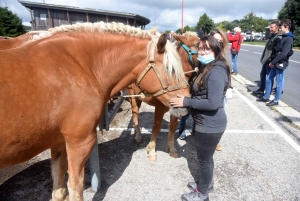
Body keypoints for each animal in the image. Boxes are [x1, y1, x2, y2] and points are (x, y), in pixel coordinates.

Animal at [0, 22, 190, 201]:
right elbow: (75, 188)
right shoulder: (79, 143)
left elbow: (59, 190)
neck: (81, 68)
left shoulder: (59, 142)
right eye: (170, 69)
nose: (185, 104)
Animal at [124, 31, 199, 160]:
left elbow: (173, 126)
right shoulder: (159, 107)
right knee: (135, 112)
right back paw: (138, 135)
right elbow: (157, 127)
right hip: (132, 96)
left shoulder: (175, 108)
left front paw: (172, 148)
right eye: (197, 44)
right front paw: (151, 150)